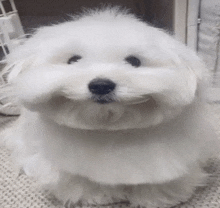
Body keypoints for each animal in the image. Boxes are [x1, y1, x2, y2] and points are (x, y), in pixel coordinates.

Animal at [3, 7, 220, 207]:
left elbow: (157, 182)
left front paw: (154, 198)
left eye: (134, 61)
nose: (101, 85)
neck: (109, 128)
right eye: (73, 60)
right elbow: (82, 181)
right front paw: (98, 196)